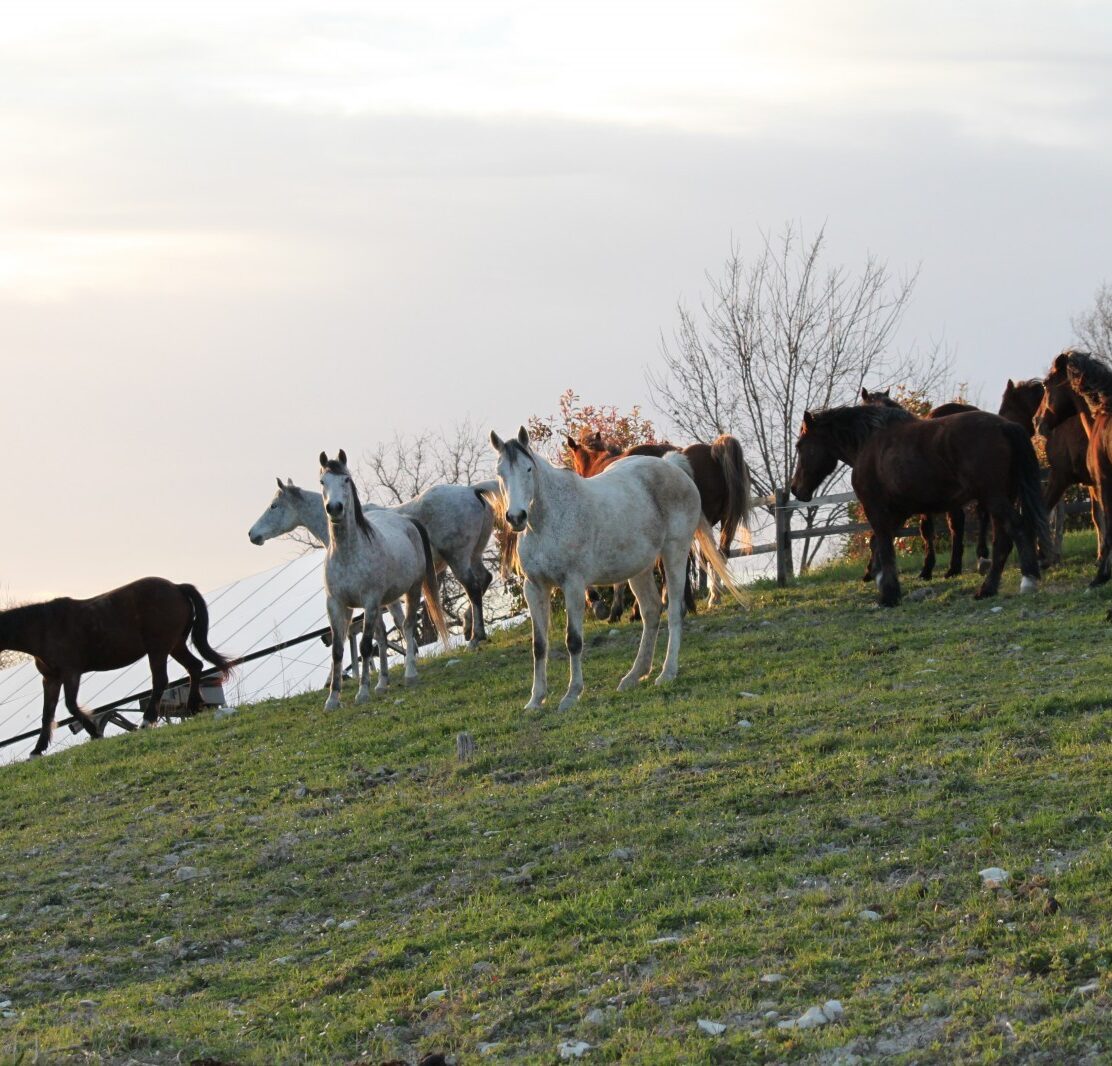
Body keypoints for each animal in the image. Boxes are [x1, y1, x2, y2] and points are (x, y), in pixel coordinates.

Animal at [0, 577, 231, 757]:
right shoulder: (50, 679)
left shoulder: (71, 673)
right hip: (176, 645)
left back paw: (147, 721)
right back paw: (193, 707)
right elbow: (47, 714)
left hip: (158, 649)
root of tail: (176, 587)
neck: (44, 627)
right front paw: (37, 750)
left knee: (160, 680)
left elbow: (71, 705)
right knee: (195, 667)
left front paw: (95, 732)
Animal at [249, 477, 495, 649]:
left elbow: (392, 624)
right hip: (474, 556)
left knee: (473, 588)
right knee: (485, 580)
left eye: (273, 506)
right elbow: (396, 621)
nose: (252, 534)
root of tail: (471, 490)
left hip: (458, 558)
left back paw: (475, 636)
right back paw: (470, 627)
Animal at [319, 451, 450, 707]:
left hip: (412, 590)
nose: (335, 508)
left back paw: (410, 674)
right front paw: (332, 700)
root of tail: (407, 521)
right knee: (382, 637)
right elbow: (338, 650)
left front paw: (362, 693)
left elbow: (364, 646)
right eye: (322, 482)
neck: (348, 553)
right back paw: (382, 683)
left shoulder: (369, 602)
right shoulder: (337, 604)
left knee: (406, 626)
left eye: (346, 480)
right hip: (385, 602)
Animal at [791, 405, 1050, 606]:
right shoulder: (899, 512)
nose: (795, 489)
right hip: (1002, 498)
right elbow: (878, 544)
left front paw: (889, 594)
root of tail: (1005, 426)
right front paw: (879, 579)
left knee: (1016, 528)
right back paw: (987, 589)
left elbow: (884, 546)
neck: (870, 443)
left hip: (993, 497)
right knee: (1003, 540)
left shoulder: (877, 509)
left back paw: (1026, 580)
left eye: (800, 446)